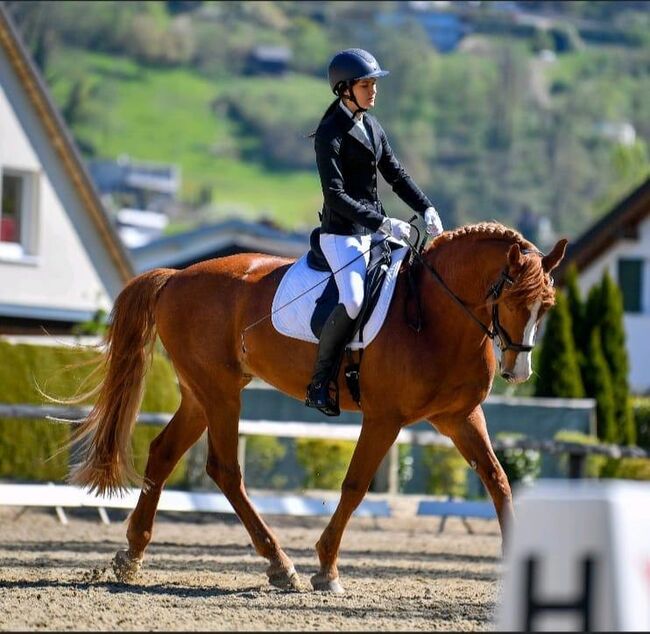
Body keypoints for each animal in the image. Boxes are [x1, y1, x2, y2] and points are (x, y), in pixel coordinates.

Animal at [66, 220, 560, 592]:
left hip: (201, 394)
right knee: (224, 470)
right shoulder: (385, 418)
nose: (518, 371)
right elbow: (355, 486)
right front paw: (326, 569)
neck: (438, 316)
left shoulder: (459, 417)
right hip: (220, 392)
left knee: (164, 453)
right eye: (510, 298)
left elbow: (498, 481)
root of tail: (175, 276)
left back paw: (132, 555)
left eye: (546, 307)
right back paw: (280, 565)